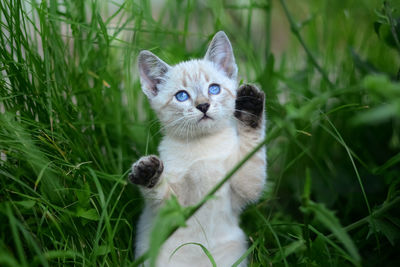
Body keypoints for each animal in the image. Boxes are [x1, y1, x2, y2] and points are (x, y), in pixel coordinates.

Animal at [130, 31, 268, 267]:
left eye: (214, 89)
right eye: (182, 96)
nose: (203, 105)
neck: (203, 147)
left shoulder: (244, 185)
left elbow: (252, 151)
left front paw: (250, 106)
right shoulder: (173, 209)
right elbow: (162, 194)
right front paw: (147, 171)